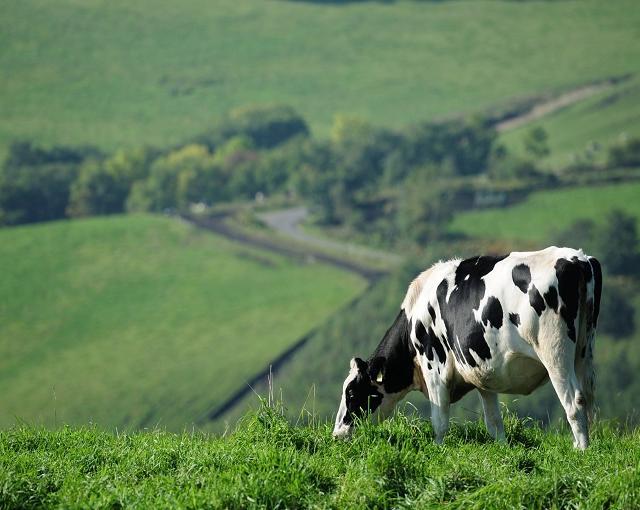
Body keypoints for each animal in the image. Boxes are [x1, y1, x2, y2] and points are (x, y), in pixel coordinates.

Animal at [332, 247, 604, 450]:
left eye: (352, 393)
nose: (337, 435)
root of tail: (577, 259)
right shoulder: (483, 372)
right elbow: (494, 422)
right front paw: (504, 452)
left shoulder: (435, 368)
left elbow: (439, 421)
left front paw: (438, 451)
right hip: (585, 350)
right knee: (588, 397)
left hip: (555, 351)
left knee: (574, 401)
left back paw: (581, 450)